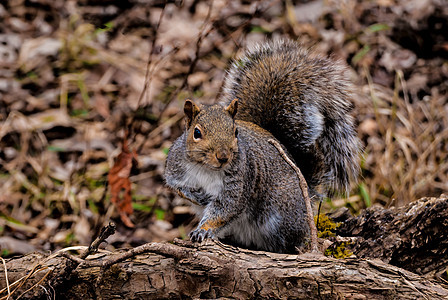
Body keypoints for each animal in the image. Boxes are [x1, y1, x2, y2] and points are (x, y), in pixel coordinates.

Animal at [164, 38, 360, 253]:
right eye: (197, 133)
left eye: (235, 132)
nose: (223, 157)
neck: (206, 169)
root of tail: (307, 191)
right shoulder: (175, 167)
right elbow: (176, 187)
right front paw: (197, 196)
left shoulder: (241, 181)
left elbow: (225, 209)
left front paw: (204, 230)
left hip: (281, 213)